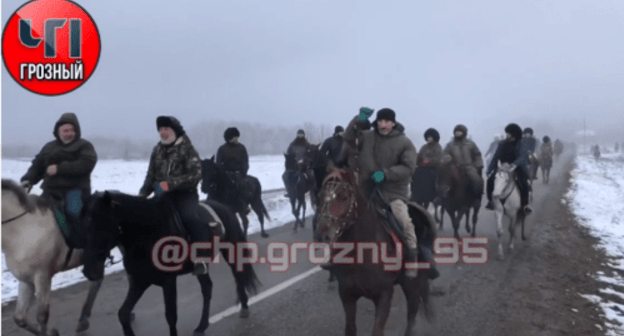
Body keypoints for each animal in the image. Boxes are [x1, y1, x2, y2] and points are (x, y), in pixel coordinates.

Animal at [0, 180, 117, 336]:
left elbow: (42, 315)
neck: (22, 229)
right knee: (97, 281)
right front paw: (51, 332)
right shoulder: (25, 280)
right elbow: (19, 318)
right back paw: (83, 319)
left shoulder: (42, 277)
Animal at [81, 192, 260, 336]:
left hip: (230, 252)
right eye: (85, 223)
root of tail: (224, 207)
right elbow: (123, 313)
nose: (89, 271)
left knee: (238, 275)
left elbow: (171, 316)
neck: (148, 233)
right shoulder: (140, 281)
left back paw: (244, 307)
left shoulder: (168, 281)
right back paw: (202, 326)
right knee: (207, 288)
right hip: (202, 267)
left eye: (103, 223)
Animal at [316, 168, 434, 336]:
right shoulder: (346, 294)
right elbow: (350, 328)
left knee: (412, 312)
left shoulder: (384, 294)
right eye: (319, 196)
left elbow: (377, 329)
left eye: (343, 197)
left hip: (412, 283)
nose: (321, 235)